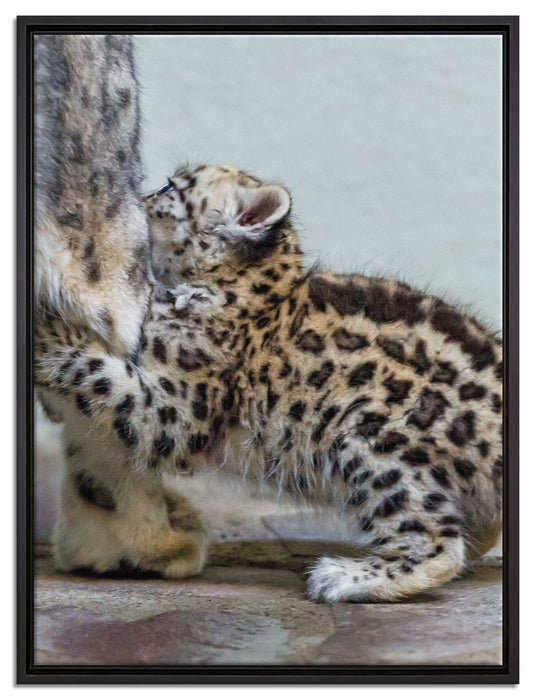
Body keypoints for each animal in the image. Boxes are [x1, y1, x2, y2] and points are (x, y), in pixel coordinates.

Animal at [35, 160, 503, 602]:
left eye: (172, 186)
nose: (138, 199)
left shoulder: (178, 410)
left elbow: (103, 378)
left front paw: (50, 337)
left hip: (370, 441)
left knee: (437, 542)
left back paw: (343, 577)